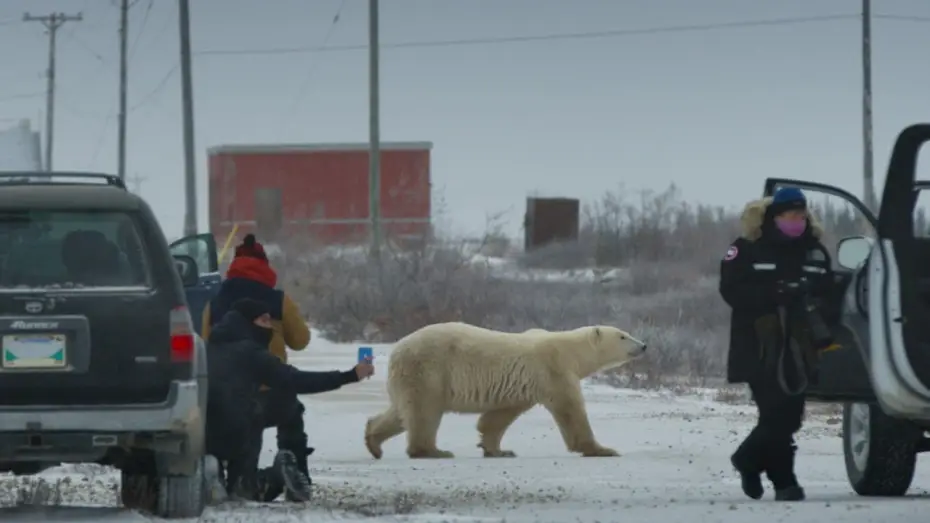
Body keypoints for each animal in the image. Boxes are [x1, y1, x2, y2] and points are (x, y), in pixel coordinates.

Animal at [364, 322, 647, 460]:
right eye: (623, 336)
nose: (644, 345)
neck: (571, 351)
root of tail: (397, 349)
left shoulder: (523, 385)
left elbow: (499, 415)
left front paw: (497, 450)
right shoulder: (554, 371)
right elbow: (570, 411)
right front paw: (603, 449)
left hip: (410, 376)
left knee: (401, 412)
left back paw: (374, 443)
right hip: (428, 369)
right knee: (425, 411)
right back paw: (432, 451)